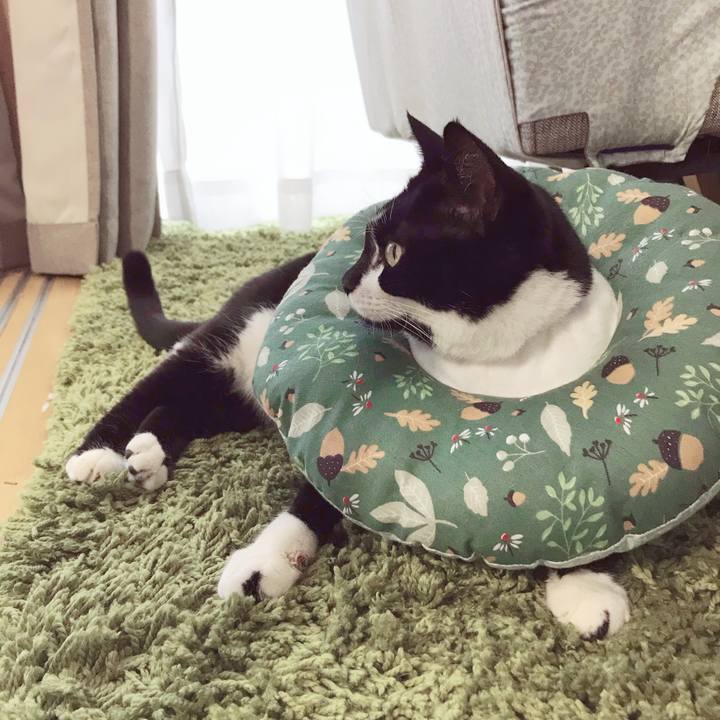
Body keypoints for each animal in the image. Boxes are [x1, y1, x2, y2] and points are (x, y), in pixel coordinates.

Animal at [65, 114, 629, 639]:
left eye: (394, 253)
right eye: (365, 244)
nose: (343, 277)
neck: (496, 361)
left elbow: (593, 500)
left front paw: (587, 585)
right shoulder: (337, 426)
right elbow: (320, 488)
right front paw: (265, 563)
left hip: (243, 402)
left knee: (184, 407)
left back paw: (148, 456)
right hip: (236, 340)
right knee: (160, 383)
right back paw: (100, 455)